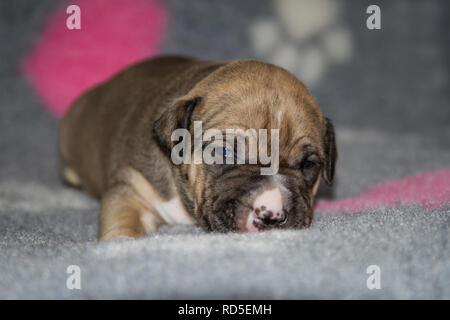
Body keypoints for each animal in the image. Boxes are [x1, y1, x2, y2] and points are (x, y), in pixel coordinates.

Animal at [59, 55, 334, 240]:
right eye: (224, 152)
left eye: (308, 164)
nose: (272, 215)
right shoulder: (131, 188)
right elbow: (122, 217)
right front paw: (120, 244)